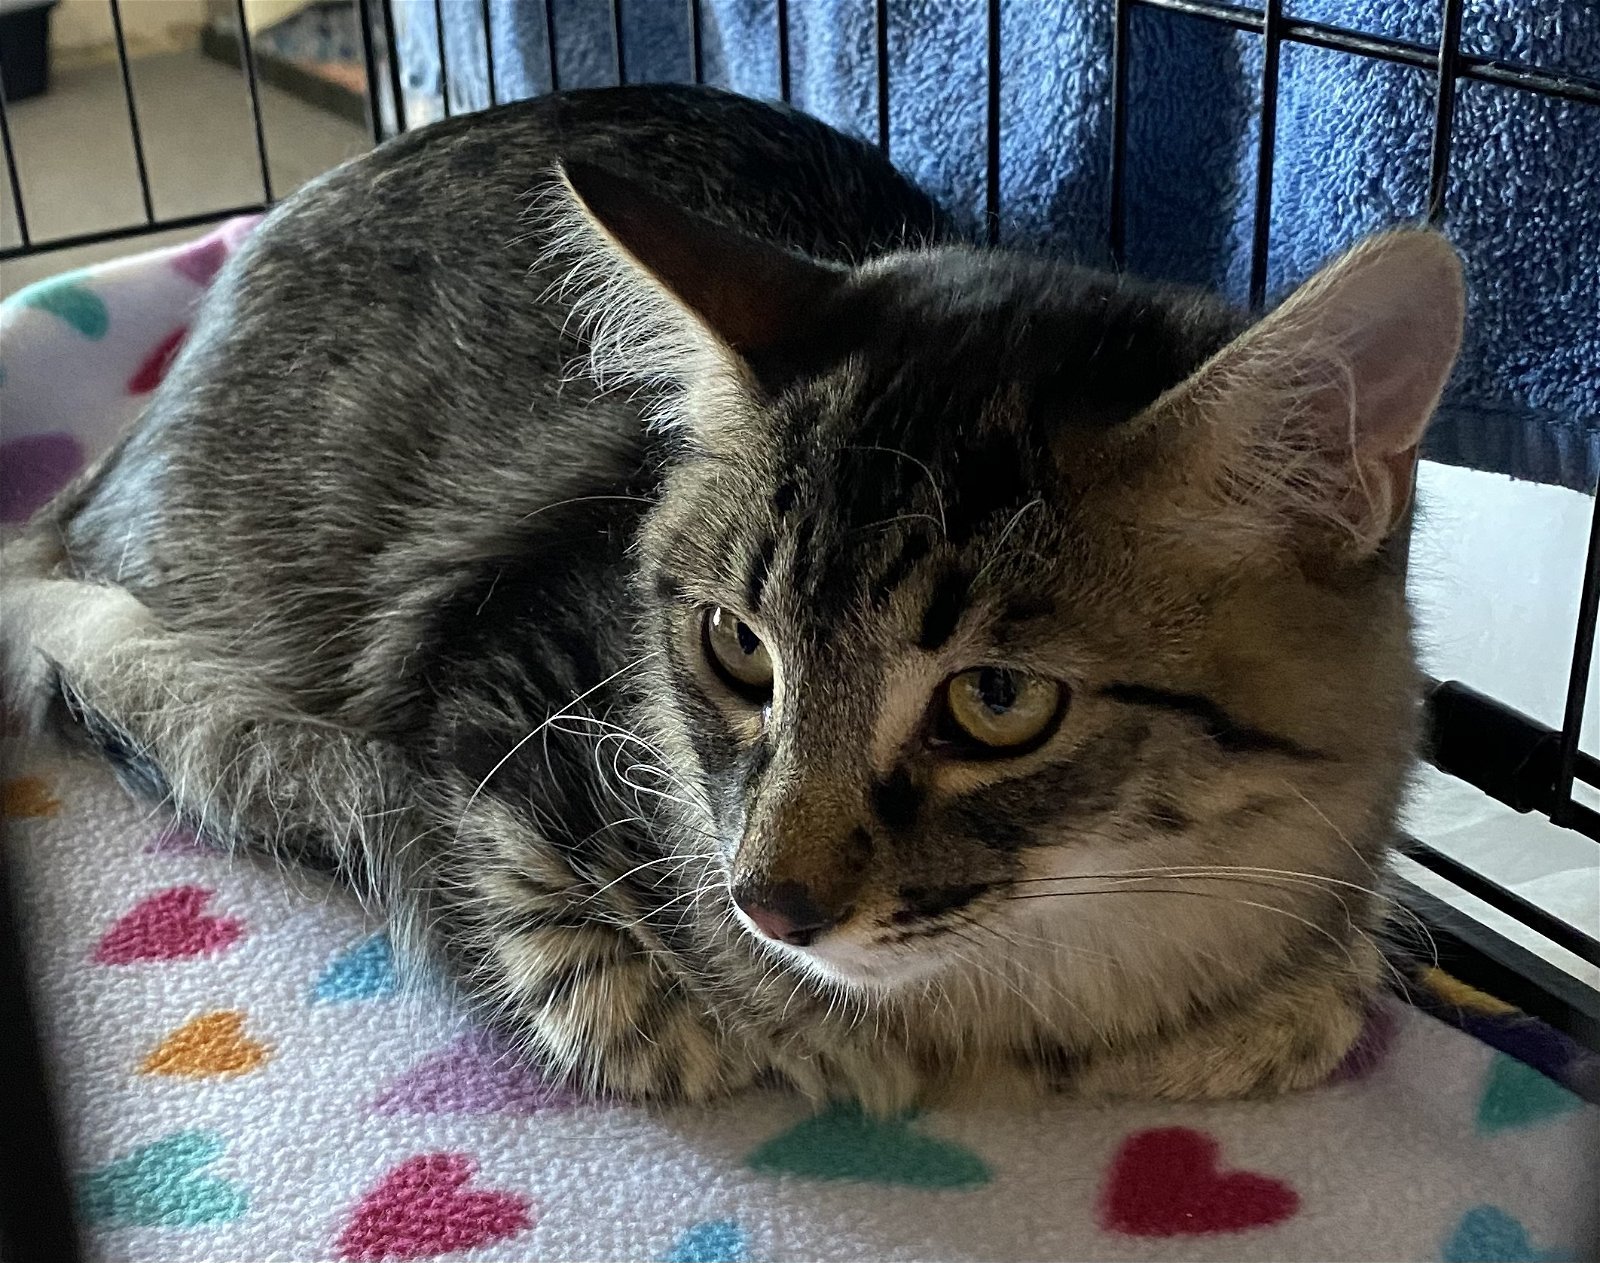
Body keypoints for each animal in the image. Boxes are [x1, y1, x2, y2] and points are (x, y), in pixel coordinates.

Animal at [3, 83, 1465, 1101]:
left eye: (997, 700)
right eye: (734, 647)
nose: (772, 905)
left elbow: (1324, 997)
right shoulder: (499, 677)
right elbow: (560, 931)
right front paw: (697, 1008)